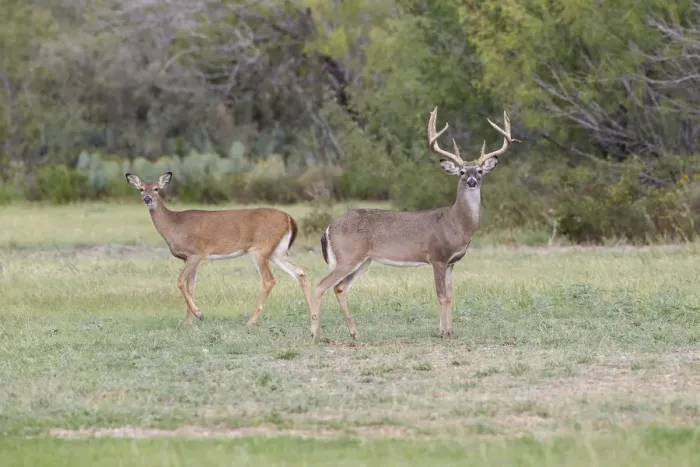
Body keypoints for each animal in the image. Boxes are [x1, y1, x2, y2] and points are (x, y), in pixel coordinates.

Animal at [125, 172, 314, 326]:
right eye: (141, 189)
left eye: (156, 189)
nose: (147, 199)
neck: (174, 224)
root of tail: (289, 218)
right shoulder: (189, 258)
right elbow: (190, 287)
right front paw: (189, 322)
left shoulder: (197, 253)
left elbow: (179, 281)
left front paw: (199, 314)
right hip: (278, 251)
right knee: (300, 272)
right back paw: (313, 316)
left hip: (260, 249)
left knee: (269, 280)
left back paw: (250, 321)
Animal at [310, 107, 520, 341]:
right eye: (462, 172)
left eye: (480, 171)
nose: (472, 181)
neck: (455, 223)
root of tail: (329, 228)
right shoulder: (437, 257)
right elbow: (441, 295)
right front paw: (444, 332)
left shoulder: (451, 262)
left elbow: (451, 295)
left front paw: (450, 330)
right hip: (348, 257)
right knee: (320, 285)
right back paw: (315, 334)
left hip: (362, 261)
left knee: (340, 288)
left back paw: (354, 333)